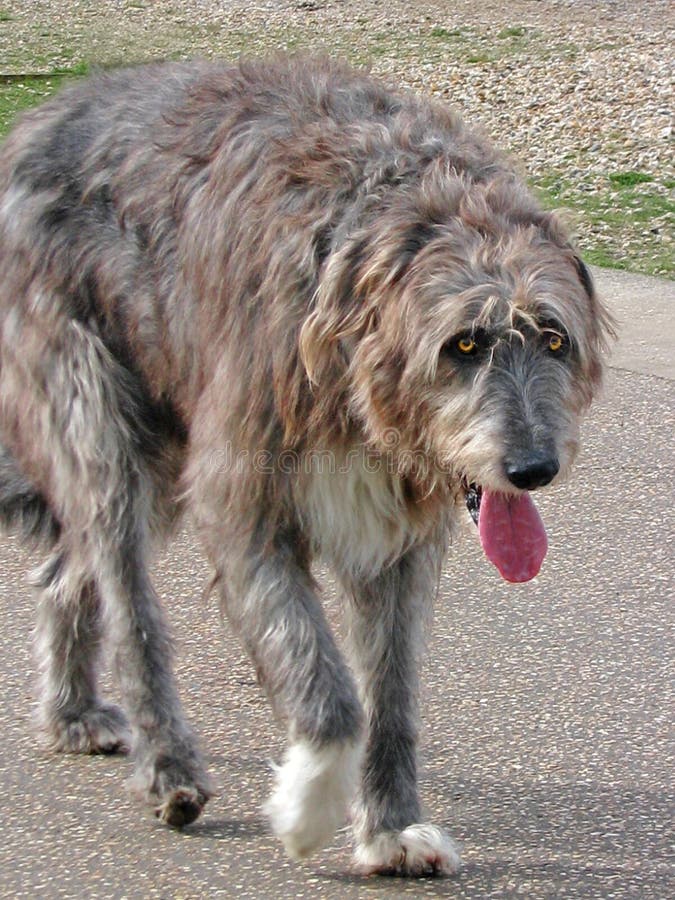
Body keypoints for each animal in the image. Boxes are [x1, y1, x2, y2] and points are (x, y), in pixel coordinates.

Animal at [0, 54, 612, 872]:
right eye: (464, 344)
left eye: (552, 338)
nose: (532, 468)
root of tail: (43, 115)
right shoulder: (244, 498)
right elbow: (328, 692)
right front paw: (307, 806)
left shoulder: (398, 536)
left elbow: (391, 694)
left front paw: (390, 828)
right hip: (93, 406)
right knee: (128, 598)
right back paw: (169, 765)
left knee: (70, 572)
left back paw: (71, 712)